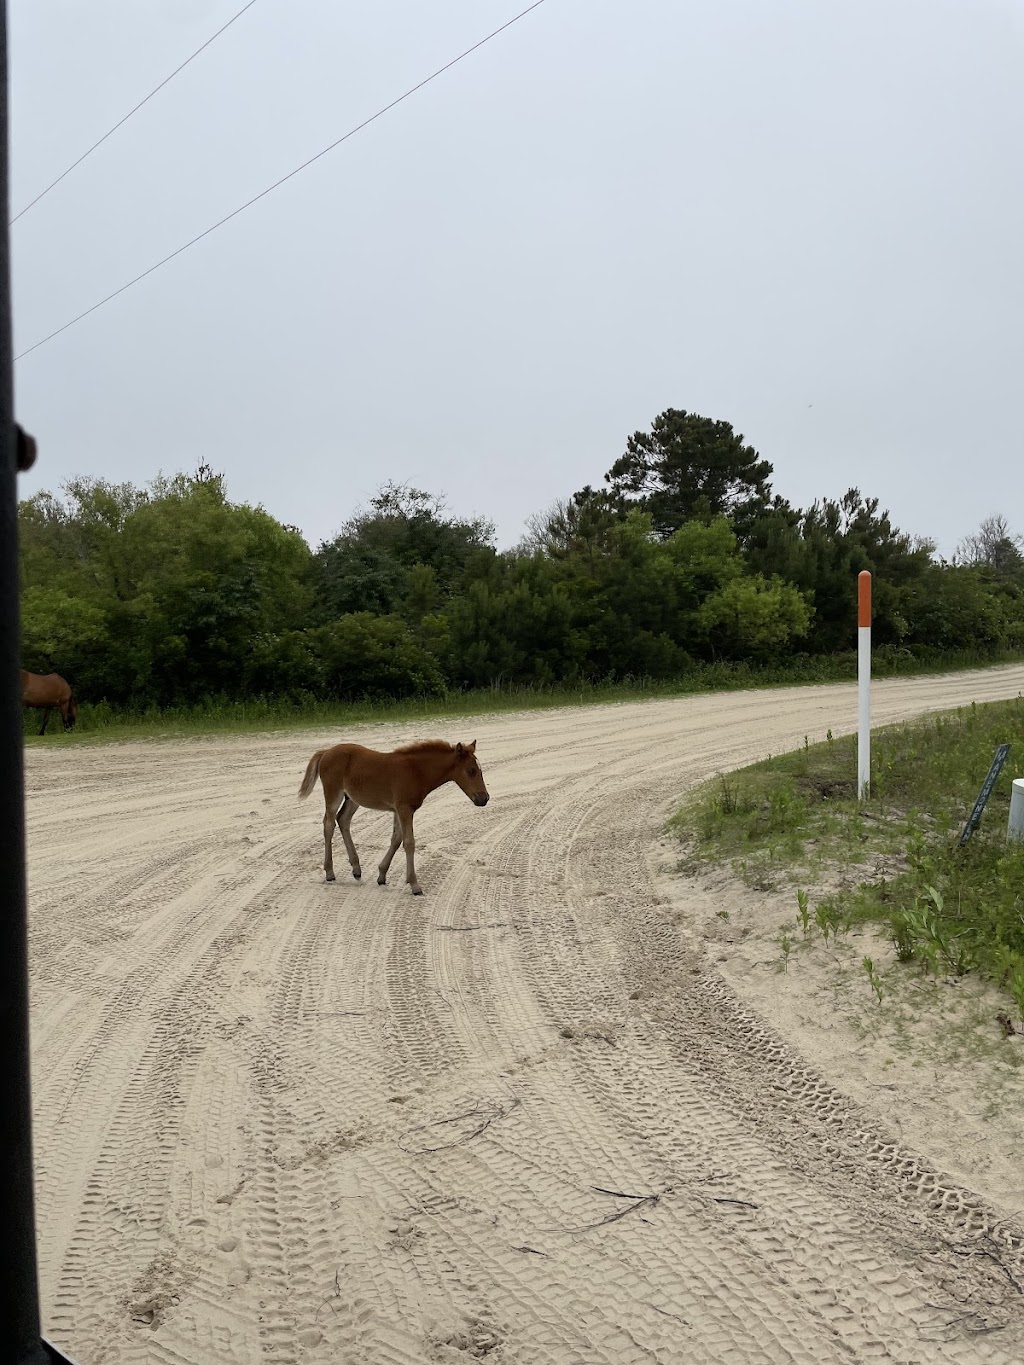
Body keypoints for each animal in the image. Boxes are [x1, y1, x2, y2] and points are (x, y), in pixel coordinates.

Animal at [299, 737, 491, 895]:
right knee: (329, 824)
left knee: (343, 819)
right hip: (334, 793)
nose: (484, 799)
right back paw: (330, 872)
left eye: (480, 771)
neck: (416, 771)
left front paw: (381, 875)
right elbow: (409, 842)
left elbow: (396, 839)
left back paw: (356, 868)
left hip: (353, 798)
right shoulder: (404, 808)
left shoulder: (398, 810)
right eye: (471, 771)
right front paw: (414, 885)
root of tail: (326, 752)